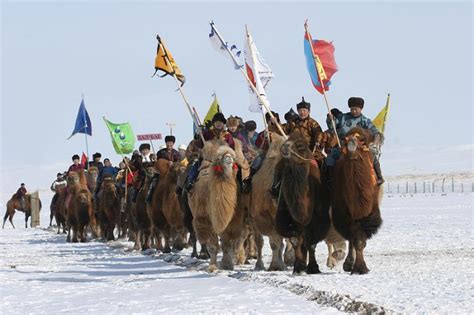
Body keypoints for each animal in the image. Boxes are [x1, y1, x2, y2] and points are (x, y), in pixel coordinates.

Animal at [274, 132, 330, 276]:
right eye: (287, 140)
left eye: (300, 146)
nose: (285, 146)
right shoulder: (287, 217)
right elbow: (295, 240)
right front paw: (298, 267)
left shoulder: (318, 220)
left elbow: (311, 243)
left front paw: (313, 268)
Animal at [332, 127, 384, 276]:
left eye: (361, 143)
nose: (351, 144)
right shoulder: (344, 214)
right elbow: (354, 238)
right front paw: (356, 266)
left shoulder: (369, 213)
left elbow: (360, 240)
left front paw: (359, 267)